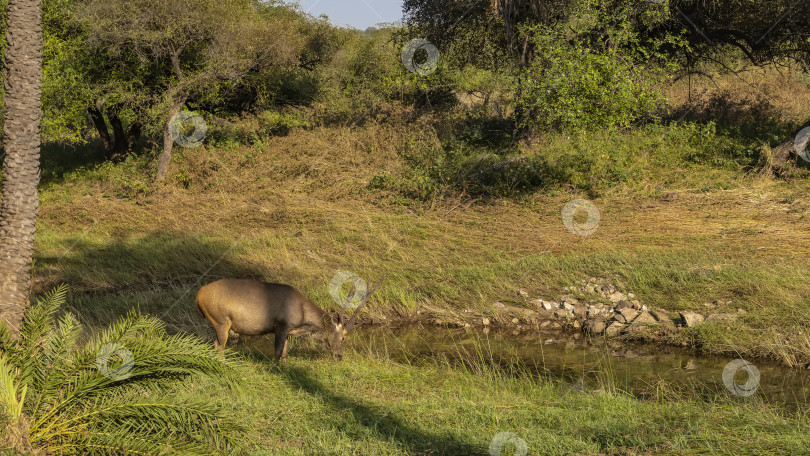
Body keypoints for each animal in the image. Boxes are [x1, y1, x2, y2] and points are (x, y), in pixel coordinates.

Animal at [194, 274, 380, 364]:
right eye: (343, 338)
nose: (340, 356)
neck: (303, 319)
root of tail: (199, 295)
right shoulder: (281, 326)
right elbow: (277, 353)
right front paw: (272, 369)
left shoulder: (289, 331)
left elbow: (284, 353)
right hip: (221, 321)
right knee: (219, 346)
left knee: (215, 344)